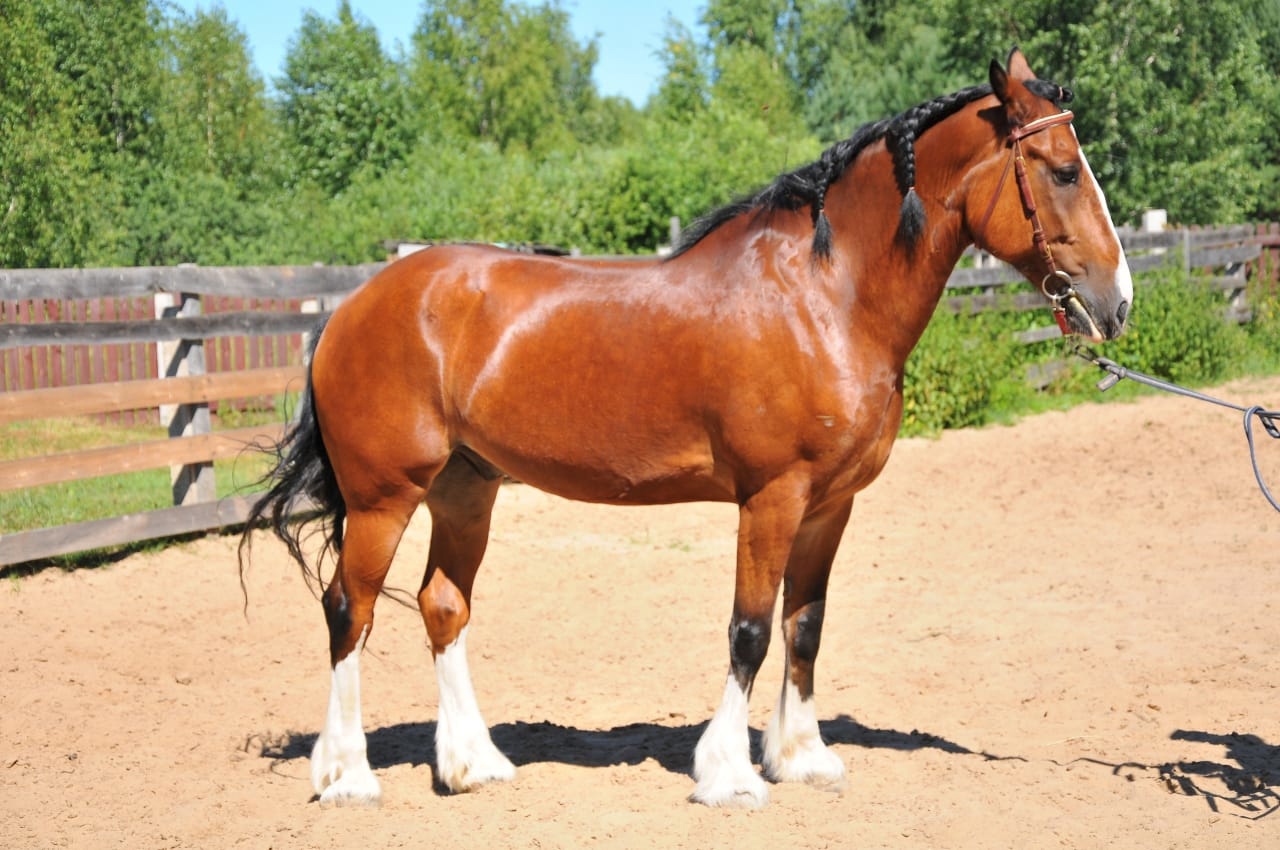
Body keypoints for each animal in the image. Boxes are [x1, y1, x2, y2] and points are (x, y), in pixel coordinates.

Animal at [240, 47, 1132, 809]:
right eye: (1062, 171)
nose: (1116, 302)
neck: (824, 296)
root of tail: (352, 305)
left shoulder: (830, 505)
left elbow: (805, 627)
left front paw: (801, 758)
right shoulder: (772, 498)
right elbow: (751, 631)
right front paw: (728, 774)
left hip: (466, 489)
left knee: (442, 605)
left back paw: (472, 765)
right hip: (384, 498)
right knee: (348, 609)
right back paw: (347, 776)